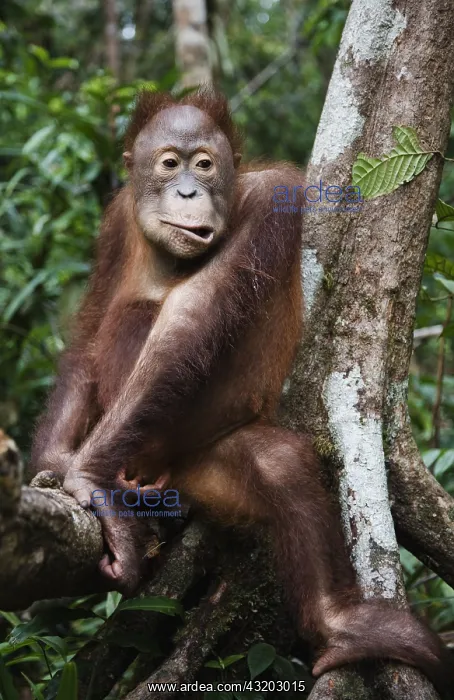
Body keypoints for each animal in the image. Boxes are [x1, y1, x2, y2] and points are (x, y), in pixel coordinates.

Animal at [30, 89, 453, 697]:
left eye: (205, 165)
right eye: (169, 164)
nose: (189, 191)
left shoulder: (270, 199)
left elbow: (193, 316)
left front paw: (88, 480)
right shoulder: (114, 223)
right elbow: (90, 335)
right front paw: (57, 463)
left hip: (204, 470)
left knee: (279, 464)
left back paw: (344, 630)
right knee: (128, 314)